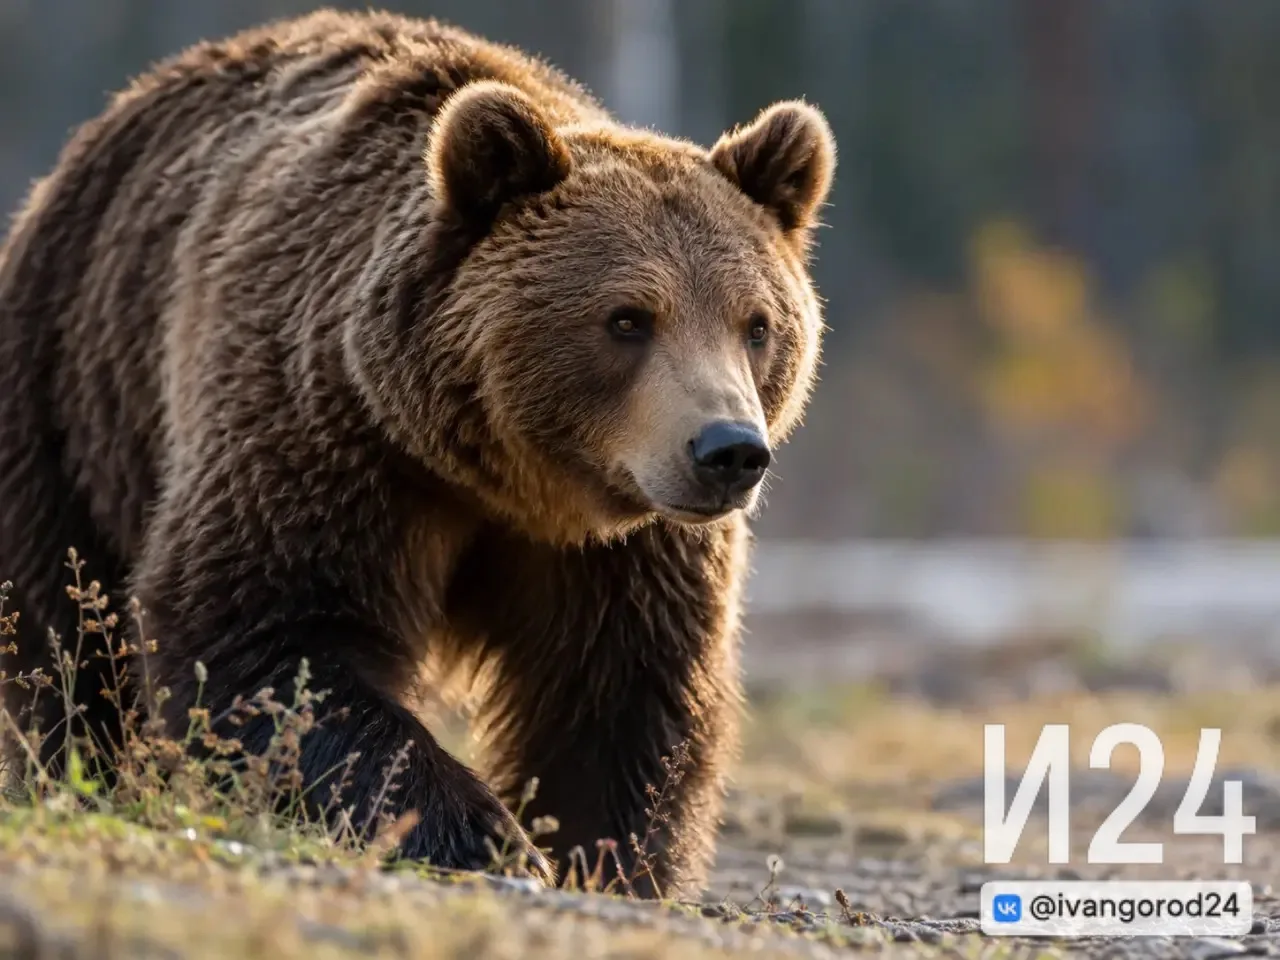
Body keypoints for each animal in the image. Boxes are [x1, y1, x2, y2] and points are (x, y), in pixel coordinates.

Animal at [0, 9, 834, 896]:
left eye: (757, 323)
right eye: (627, 318)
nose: (729, 451)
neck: (503, 473)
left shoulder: (627, 543)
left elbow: (621, 688)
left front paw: (606, 856)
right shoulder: (326, 439)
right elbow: (272, 634)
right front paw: (482, 835)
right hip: (74, 386)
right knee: (67, 627)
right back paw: (80, 773)